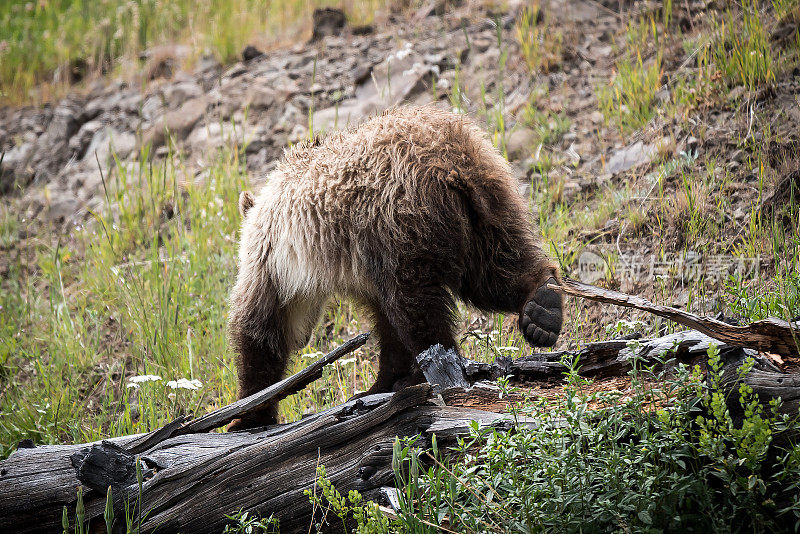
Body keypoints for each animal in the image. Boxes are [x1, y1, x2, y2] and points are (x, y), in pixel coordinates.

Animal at [225, 107, 564, 430]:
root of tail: (449, 159)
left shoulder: (271, 262)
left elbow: (259, 327)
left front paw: (247, 415)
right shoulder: (362, 270)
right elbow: (386, 327)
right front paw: (380, 383)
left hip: (397, 220)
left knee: (417, 305)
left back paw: (430, 373)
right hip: (488, 205)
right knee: (497, 268)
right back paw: (542, 310)